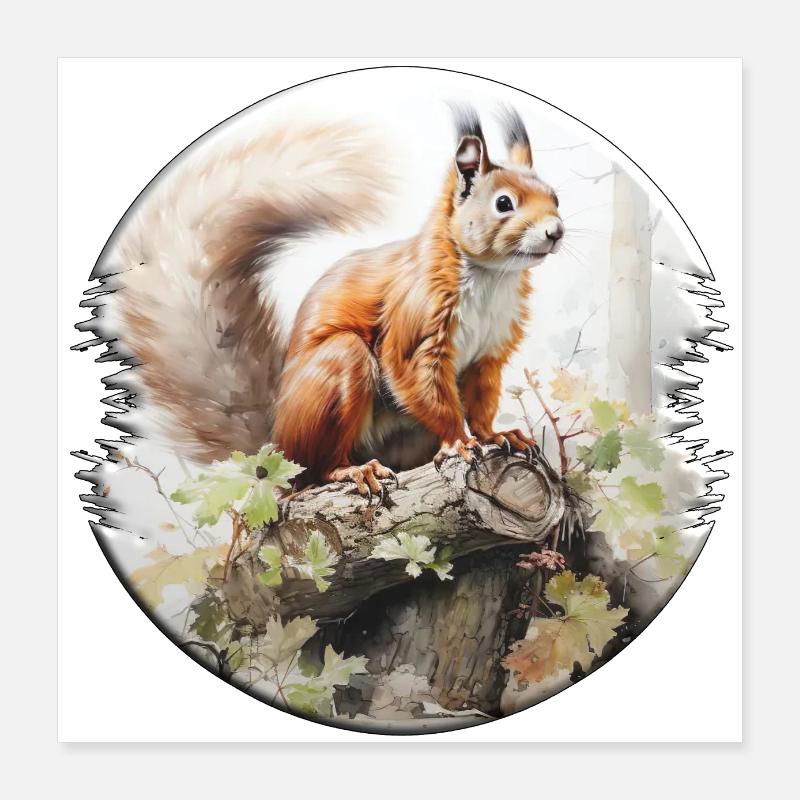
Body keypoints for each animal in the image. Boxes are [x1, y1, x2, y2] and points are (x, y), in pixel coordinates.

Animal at [107, 105, 563, 498]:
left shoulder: (490, 351)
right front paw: (458, 441)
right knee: (318, 469)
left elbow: (482, 400)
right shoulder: (416, 322)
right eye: (503, 203)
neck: (490, 278)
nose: (556, 231)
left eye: (555, 197)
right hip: (338, 374)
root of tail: (278, 453)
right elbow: (418, 378)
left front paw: (495, 434)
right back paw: (353, 470)